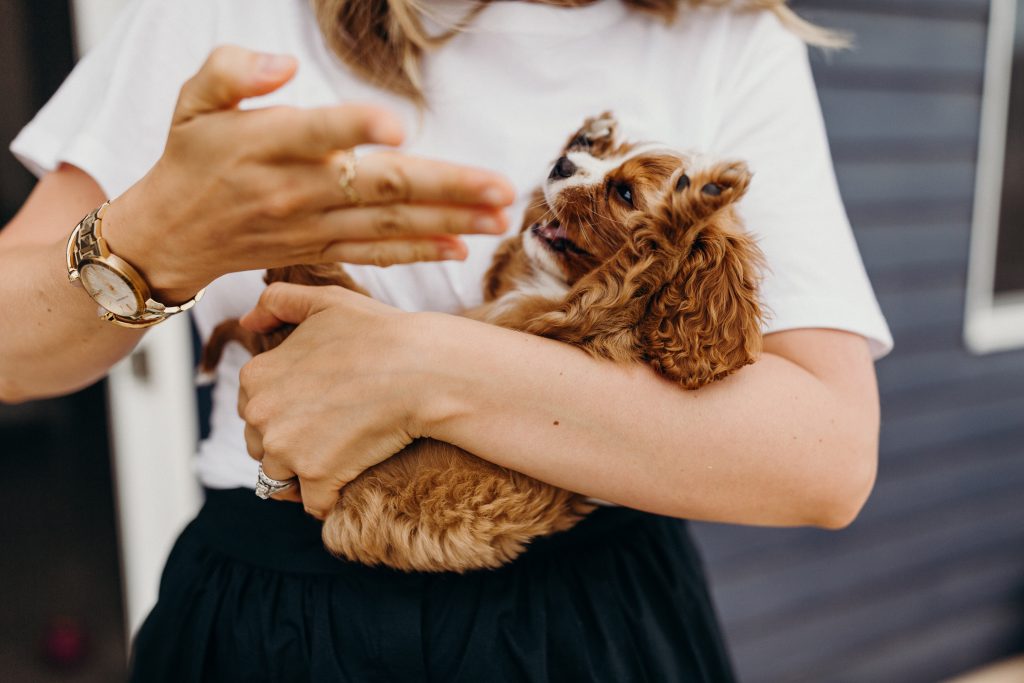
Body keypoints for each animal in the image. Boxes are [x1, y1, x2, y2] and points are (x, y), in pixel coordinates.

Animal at [199, 112, 765, 573]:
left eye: (624, 194)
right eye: (602, 161)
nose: (563, 163)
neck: (551, 288)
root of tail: (269, 340)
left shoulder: (574, 322)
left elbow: (644, 254)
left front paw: (691, 204)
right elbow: (523, 252)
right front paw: (590, 133)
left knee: (290, 268)